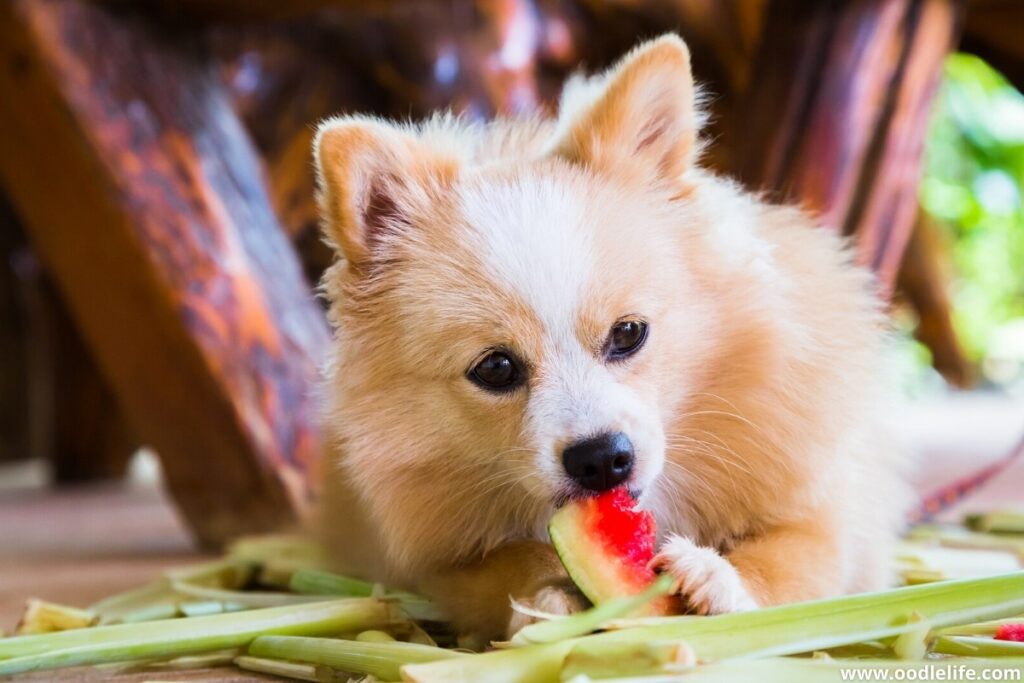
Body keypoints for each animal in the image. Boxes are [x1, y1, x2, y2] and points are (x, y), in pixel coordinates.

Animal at [313, 31, 913, 643]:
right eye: (496, 368)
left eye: (628, 334)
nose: (601, 458)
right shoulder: (443, 564)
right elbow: (506, 564)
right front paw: (549, 594)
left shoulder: (830, 513)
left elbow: (792, 559)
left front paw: (720, 578)